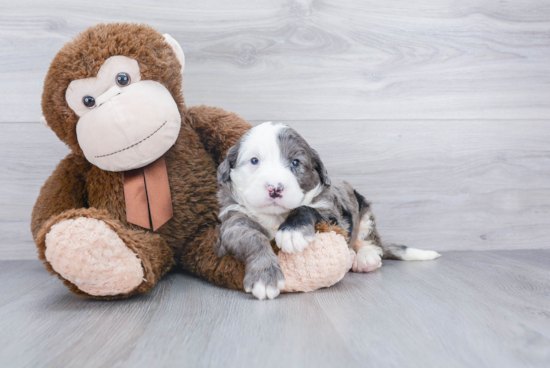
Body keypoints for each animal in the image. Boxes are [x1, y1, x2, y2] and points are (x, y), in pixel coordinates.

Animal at [216, 121, 440, 300]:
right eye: (254, 161)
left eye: (295, 163)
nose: (275, 188)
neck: (275, 216)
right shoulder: (233, 221)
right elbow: (252, 238)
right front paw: (264, 277)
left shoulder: (331, 211)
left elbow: (305, 208)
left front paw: (292, 233)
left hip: (364, 210)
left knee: (369, 241)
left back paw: (364, 258)